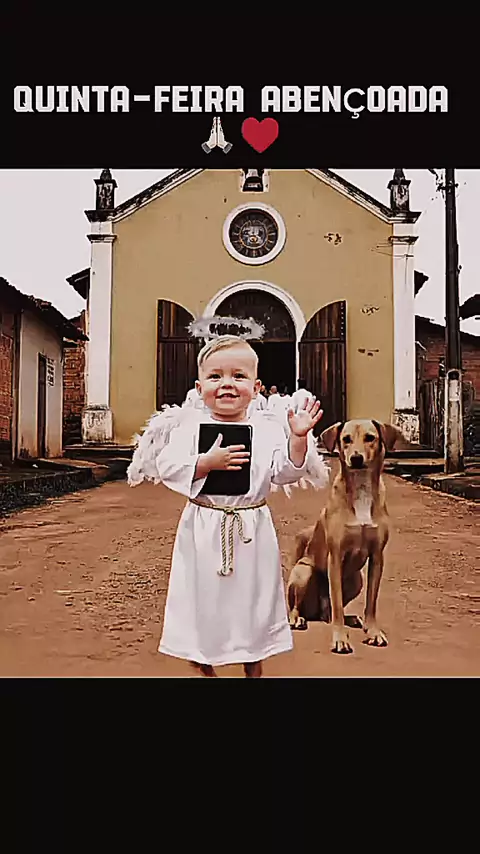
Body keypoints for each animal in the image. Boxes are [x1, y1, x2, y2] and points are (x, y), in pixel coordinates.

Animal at [287, 419, 402, 654]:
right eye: (346, 439)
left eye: (370, 438)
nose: (356, 458)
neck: (361, 489)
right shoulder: (336, 556)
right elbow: (337, 603)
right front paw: (340, 638)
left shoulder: (377, 556)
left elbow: (371, 602)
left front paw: (373, 631)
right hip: (303, 572)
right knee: (302, 607)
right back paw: (297, 619)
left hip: (356, 580)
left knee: (329, 612)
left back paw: (351, 619)